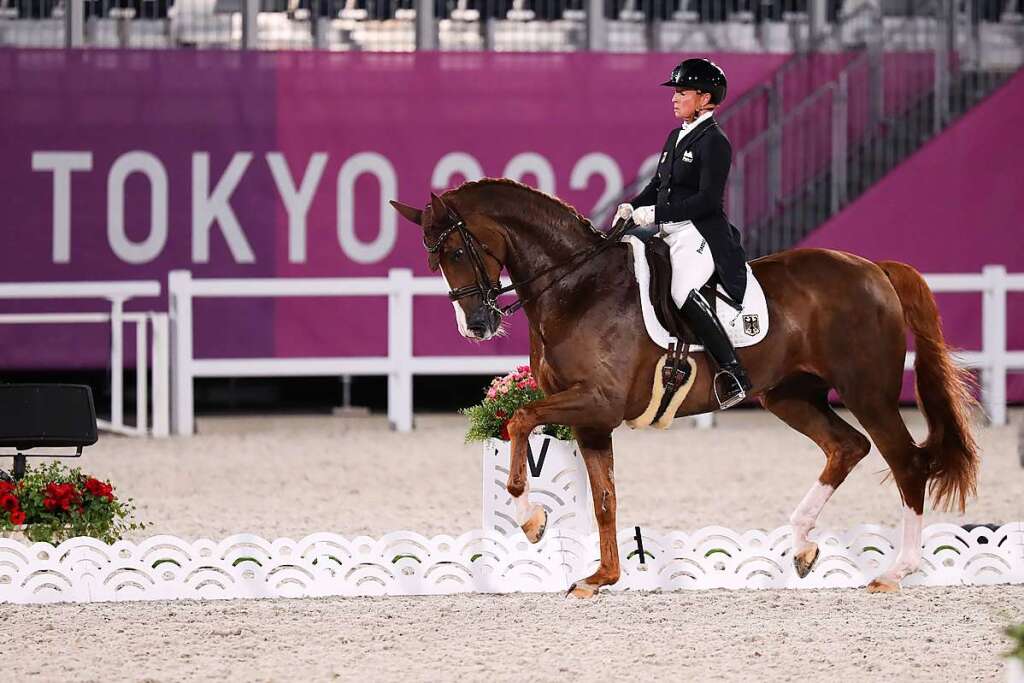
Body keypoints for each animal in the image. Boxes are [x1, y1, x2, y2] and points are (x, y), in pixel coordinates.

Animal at [389, 178, 974, 598]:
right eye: (433, 260)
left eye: (456, 253)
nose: (477, 326)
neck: (577, 288)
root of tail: (874, 268)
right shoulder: (591, 420)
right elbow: (605, 499)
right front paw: (601, 578)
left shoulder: (595, 402)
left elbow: (517, 420)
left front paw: (532, 520)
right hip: (790, 395)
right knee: (846, 447)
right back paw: (804, 546)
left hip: (866, 391)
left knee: (905, 462)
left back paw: (896, 570)